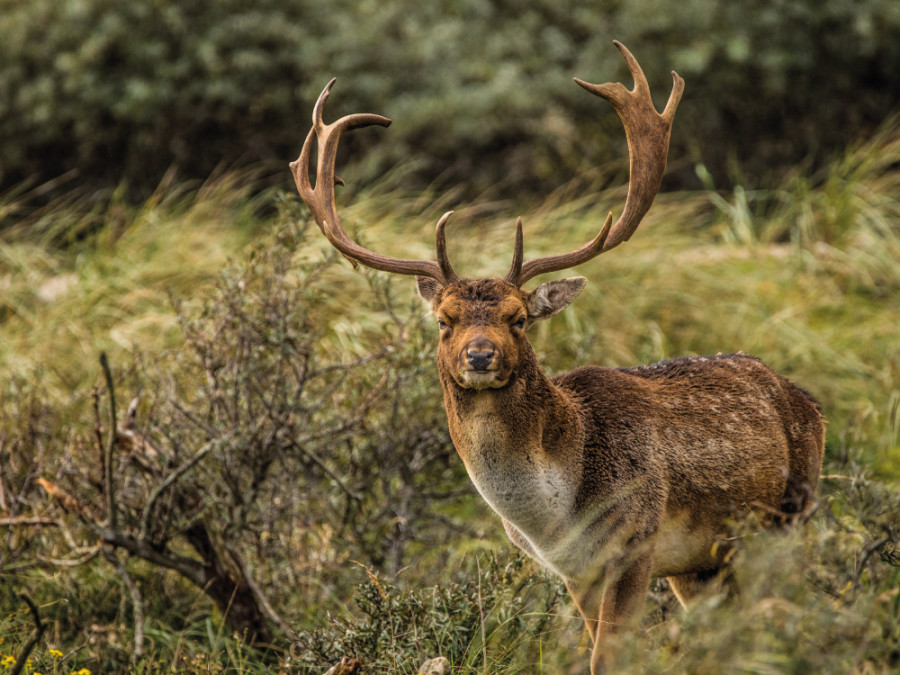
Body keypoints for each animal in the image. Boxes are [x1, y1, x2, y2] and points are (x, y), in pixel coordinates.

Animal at [288, 41, 824, 672]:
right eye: (444, 321)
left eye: (518, 318)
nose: (479, 356)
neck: (555, 516)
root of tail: (809, 402)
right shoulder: (576, 572)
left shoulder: (636, 541)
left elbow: (609, 657)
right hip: (704, 566)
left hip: (789, 516)